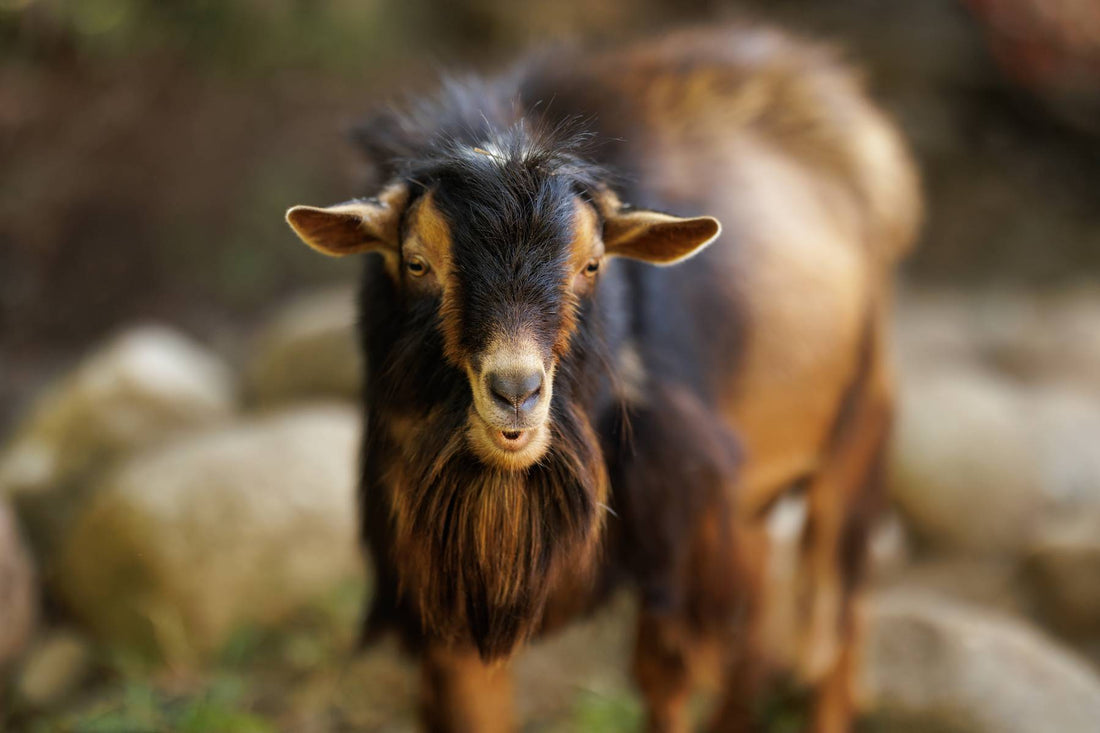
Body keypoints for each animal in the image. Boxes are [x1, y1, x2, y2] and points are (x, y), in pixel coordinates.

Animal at [285, 24, 920, 733]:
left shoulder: (676, 517)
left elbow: (663, 674)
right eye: (417, 263)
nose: (515, 394)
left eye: (591, 265)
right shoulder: (436, 575)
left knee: (835, 616)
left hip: (856, 432)